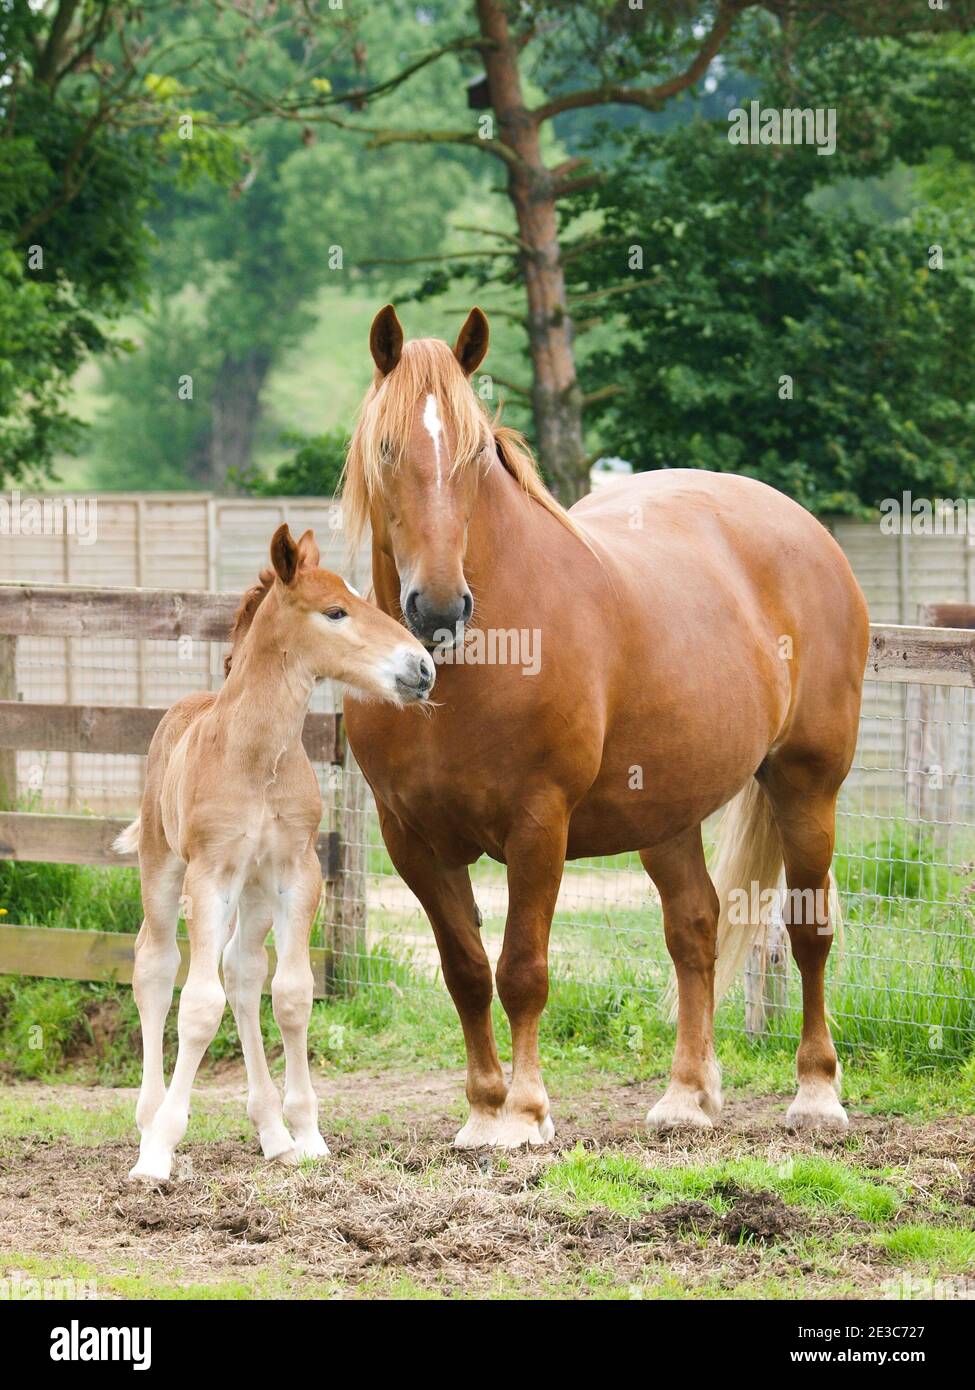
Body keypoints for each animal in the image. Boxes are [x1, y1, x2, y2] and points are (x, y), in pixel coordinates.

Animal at [117, 523, 435, 1180]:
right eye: (335, 611)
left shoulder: (297, 871)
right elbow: (198, 1005)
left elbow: (289, 995)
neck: (256, 754)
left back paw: (272, 1132)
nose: (421, 667)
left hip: (256, 891)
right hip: (163, 868)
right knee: (155, 966)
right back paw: (147, 1122)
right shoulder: (209, 875)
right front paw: (160, 1151)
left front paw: (307, 1135)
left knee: (242, 973)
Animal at [342, 304, 869, 1147]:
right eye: (386, 448)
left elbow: (521, 970)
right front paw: (482, 1109)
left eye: (474, 454)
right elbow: (465, 972)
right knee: (693, 928)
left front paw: (524, 1113)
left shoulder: (538, 825)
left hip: (805, 783)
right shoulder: (411, 840)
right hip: (665, 811)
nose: (439, 608)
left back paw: (816, 1093)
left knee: (807, 930)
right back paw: (686, 1097)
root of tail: (802, 528)